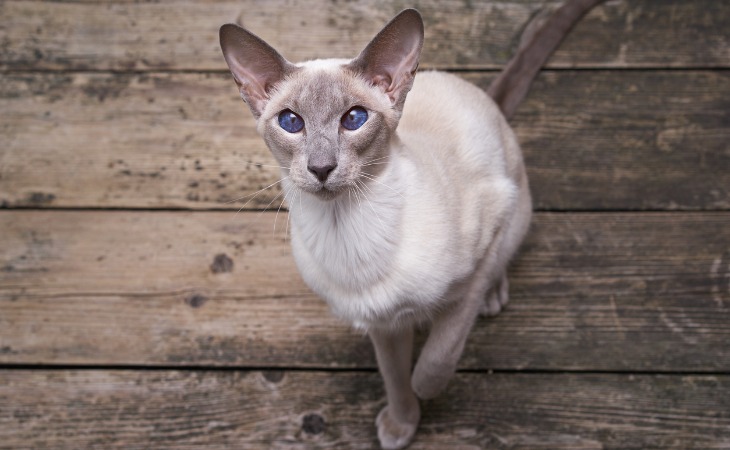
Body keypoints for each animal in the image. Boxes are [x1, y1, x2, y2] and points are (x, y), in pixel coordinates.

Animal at [218, 2, 604, 446]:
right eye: (291, 122)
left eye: (354, 118)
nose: (321, 168)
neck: (346, 229)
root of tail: (484, 96)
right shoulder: (382, 324)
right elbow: (394, 377)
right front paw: (403, 423)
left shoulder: (475, 265)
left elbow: (435, 361)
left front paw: (424, 394)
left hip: (514, 206)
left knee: (503, 257)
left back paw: (494, 297)